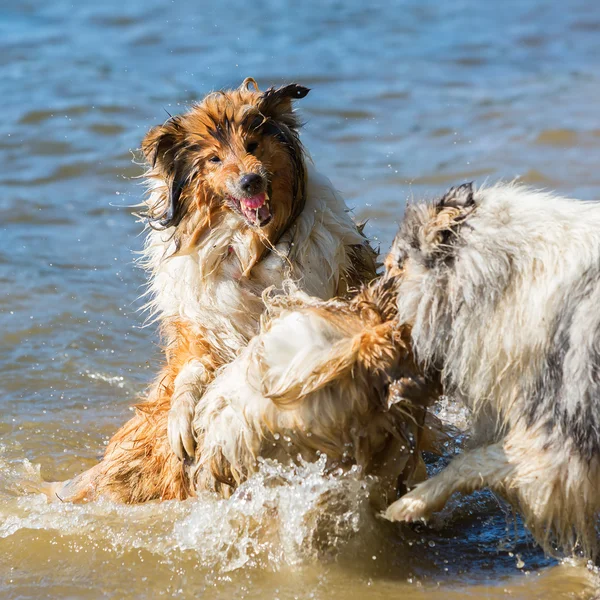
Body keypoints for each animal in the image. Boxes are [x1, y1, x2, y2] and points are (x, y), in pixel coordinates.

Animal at [47, 77, 376, 504]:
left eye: (253, 144)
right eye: (215, 160)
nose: (250, 181)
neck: (252, 249)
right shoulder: (204, 325)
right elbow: (191, 370)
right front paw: (183, 419)